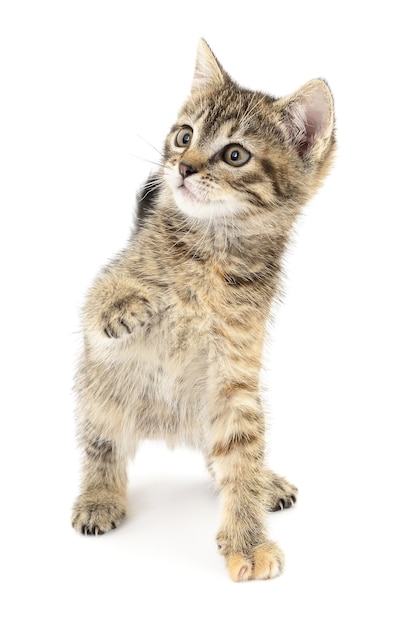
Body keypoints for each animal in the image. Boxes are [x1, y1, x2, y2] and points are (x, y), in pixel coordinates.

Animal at [71, 39, 334, 580]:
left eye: (235, 154)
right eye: (184, 135)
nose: (184, 167)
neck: (211, 249)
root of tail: (167, 429)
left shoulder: (235, 376)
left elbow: (241, 453)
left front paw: (248, 540)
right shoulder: (110, 278)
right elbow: (100, 300)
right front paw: (128, 306)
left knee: (227, 457)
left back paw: (264, 481)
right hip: (101, 393)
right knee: (102, 447)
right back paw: (99, 497)